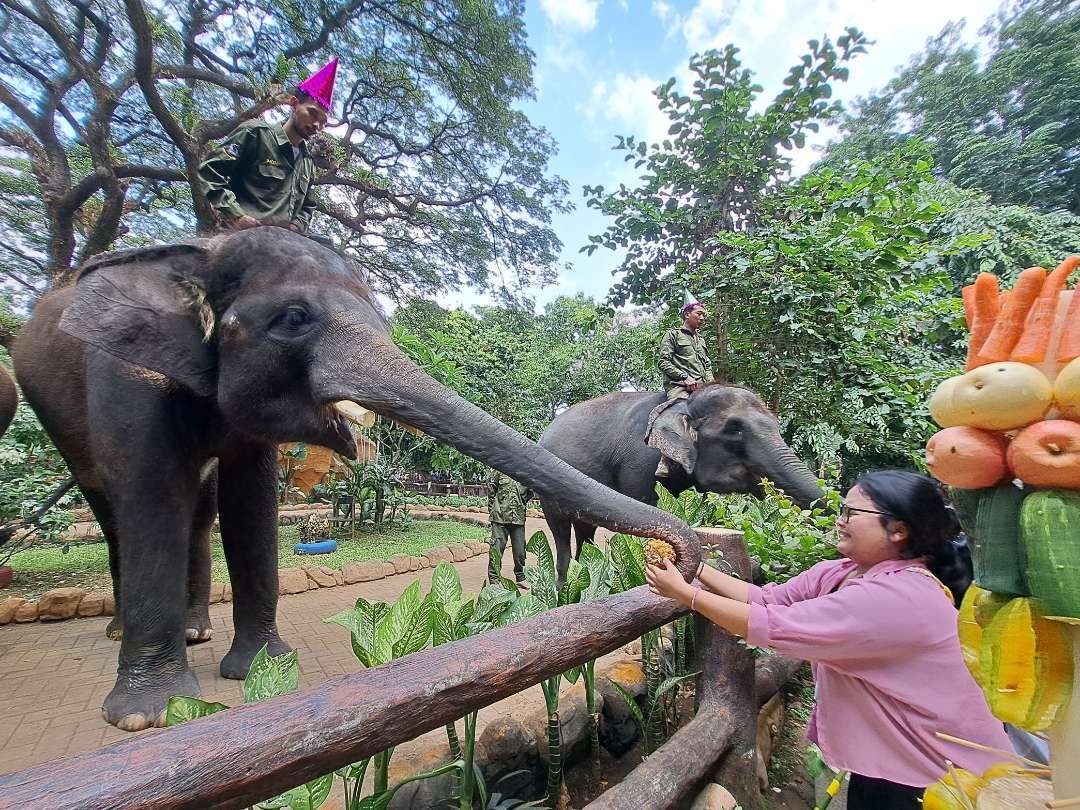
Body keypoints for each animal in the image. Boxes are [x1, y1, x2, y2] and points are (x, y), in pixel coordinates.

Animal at [8, 228, 704, 734]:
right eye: (293, 318)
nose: (675, 558)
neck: (202, 247)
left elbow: (252, 501)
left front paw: (266, 666)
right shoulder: (123, 375)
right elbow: (152, 497)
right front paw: (145, 718)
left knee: (198, 512)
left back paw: (193, 631)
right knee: (115, 507)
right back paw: (130, 635)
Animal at [540, 386, 825, 583]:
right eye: (734, 430)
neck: (685, 403)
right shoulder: (639, 462)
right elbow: (645, 505)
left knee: (585, 532)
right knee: (560, 530)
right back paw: (563, 588)